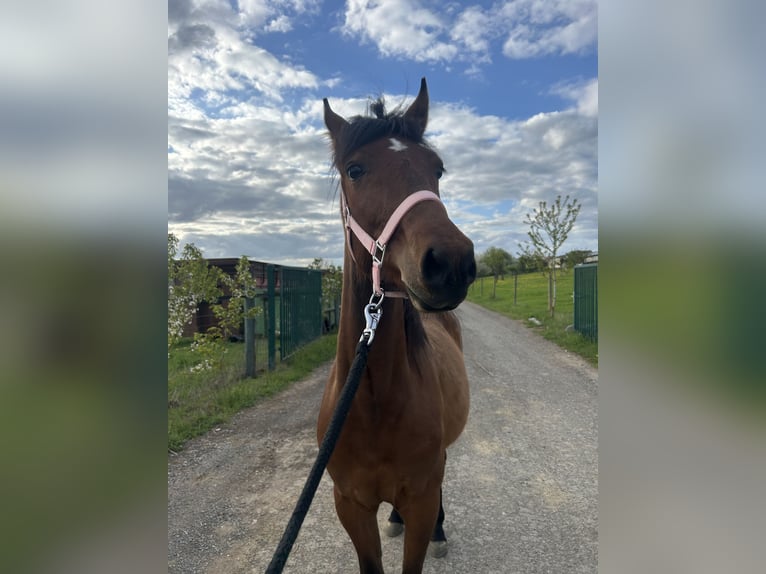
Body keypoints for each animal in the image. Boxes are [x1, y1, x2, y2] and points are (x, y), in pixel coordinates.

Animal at [317, 77, 476, 574]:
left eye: (437, 169)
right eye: (355, 169)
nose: (450, 263)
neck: (375, 402)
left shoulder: (421, 497)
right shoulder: (350, 506)